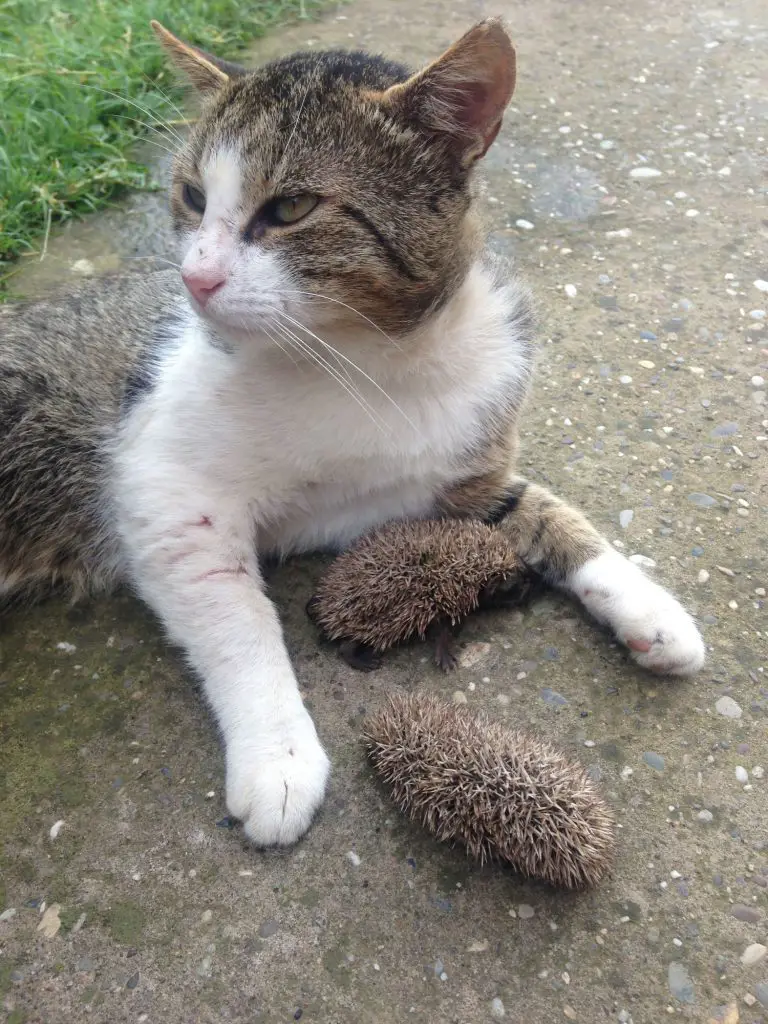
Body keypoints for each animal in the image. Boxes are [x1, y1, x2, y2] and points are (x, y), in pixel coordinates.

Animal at [0, 18, 708, 847]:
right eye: (194, 197)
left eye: (292, 208)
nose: (194, 281)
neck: (374, 363)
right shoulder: (167, 494)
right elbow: (241, 620)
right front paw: (278, 756)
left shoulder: (460, 475)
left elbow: (550, 515)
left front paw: (651, 610)